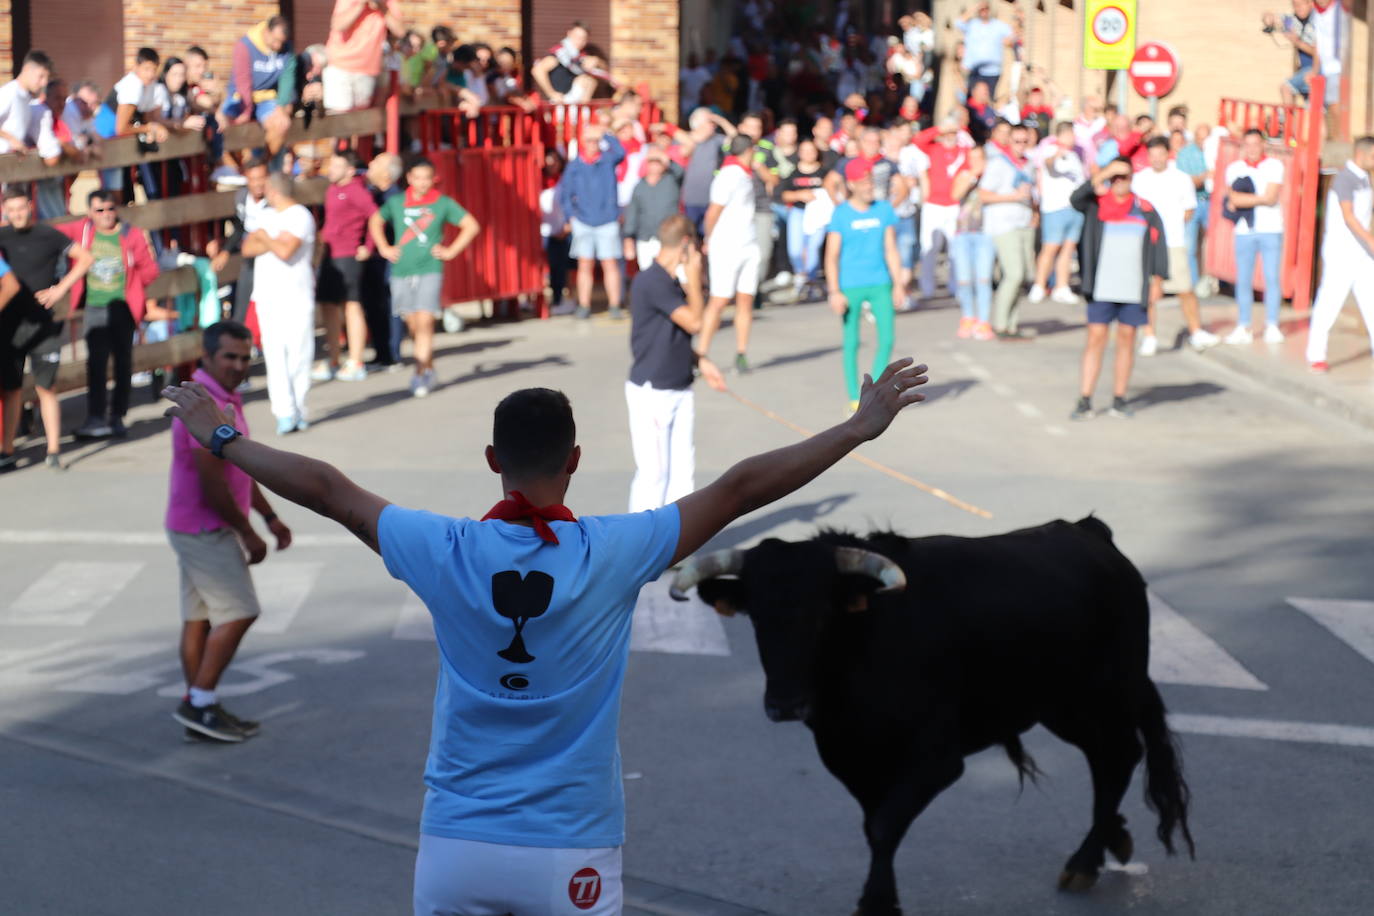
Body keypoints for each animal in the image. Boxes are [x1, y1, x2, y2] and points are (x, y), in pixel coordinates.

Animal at [670, 519, 1187, 911]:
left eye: (822, 614)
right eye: (756, 616)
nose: (785, 705)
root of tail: (1089, 532)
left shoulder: (935, 760)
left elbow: (884, 827)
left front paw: (877, 905)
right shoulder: (849, 757)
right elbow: (873, 825)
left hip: (1107, 692)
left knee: (1121, 754)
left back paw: (1085, 861)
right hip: (1062, 706)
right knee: (1108, 758)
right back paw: (1109, 841)